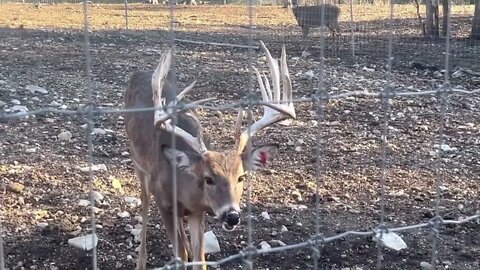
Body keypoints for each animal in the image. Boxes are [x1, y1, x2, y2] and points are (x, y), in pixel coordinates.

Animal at [123, 41, 296, 268]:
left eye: (241, 177)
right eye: (208, 179)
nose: (232, 216)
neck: (182, 186)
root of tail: (138, 73)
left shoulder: (199, 211)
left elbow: (199, 259)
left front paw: (192, 252)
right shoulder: (163, 202)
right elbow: (179, 255)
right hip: (138, 165)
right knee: (144, 203)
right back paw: (141, 261)